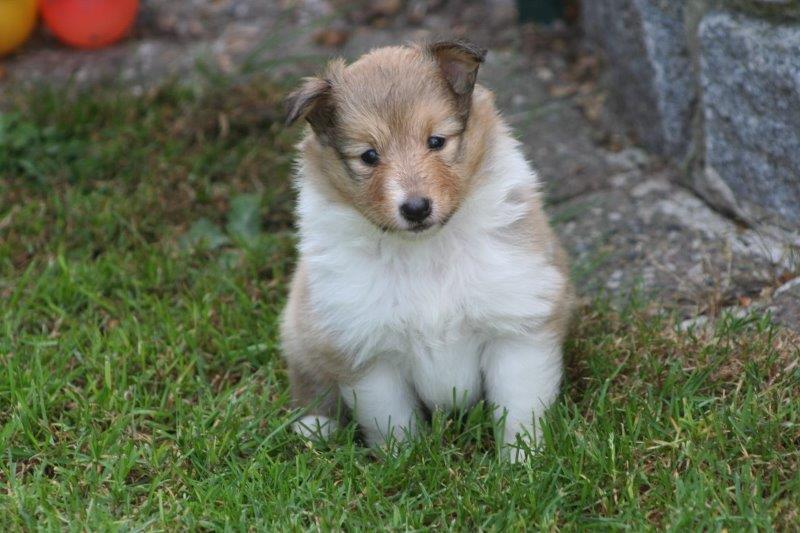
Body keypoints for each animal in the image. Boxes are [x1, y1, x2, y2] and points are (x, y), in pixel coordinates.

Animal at [280, 39, 574, 461]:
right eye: (369, 156)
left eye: (436, 141)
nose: (416, 208)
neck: (426, 251)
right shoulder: (369, 354)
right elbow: (393, 421)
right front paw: (403, 462)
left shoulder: (518, 330)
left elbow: (519, 408)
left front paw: (523, 462)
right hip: (302, 331)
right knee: (311, 384)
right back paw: (314, 429)